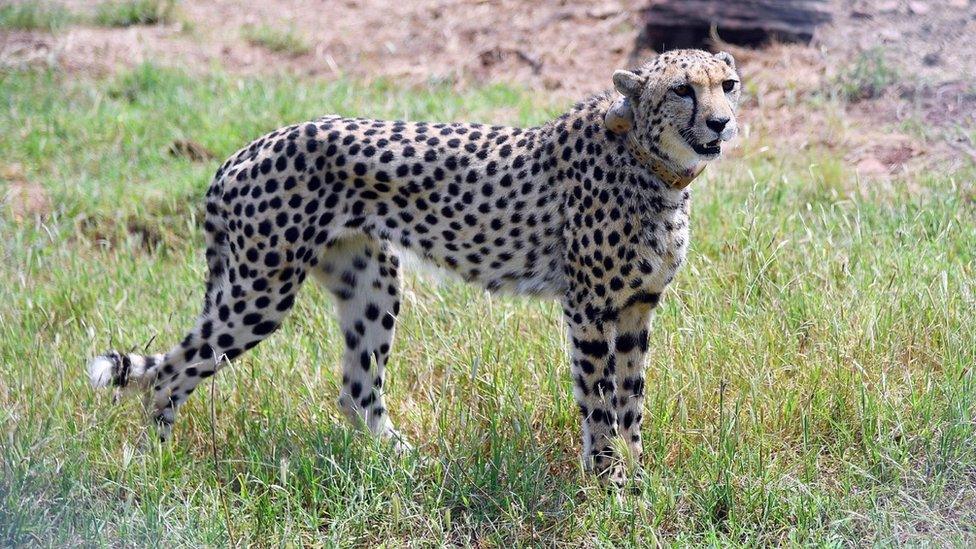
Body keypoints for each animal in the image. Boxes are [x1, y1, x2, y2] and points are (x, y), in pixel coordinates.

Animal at [89, 49, 740, 482]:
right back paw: (155, 465)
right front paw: (610, 485)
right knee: (172, 372)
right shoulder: (589, 308)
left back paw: (408, 465)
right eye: (683, 90)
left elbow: (631, 401)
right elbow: (600, 403)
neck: (653, 165)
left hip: (371, 281)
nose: (721, 121)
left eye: (728, 84)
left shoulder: (636, 307)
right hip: (260, 292)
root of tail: (245, 150)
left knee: (357, 390)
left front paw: (639, 478)